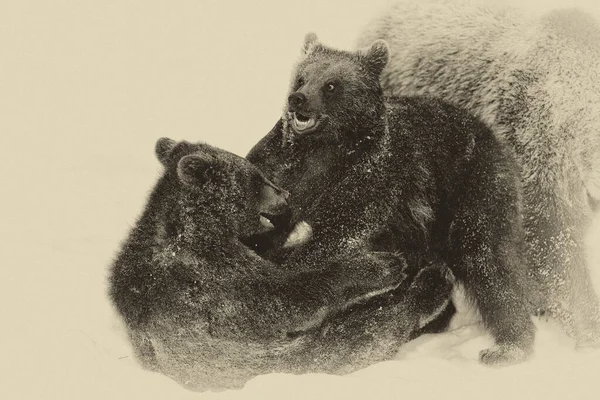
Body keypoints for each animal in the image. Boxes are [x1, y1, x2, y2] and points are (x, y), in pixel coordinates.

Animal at [109, 138, 454, 390]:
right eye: (257, 178)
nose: (286, 193)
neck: (202, 225)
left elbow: (285, 263)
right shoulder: (208, 277)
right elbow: (285, 298)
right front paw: (380, 265)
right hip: (278, 360)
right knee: (367, 331)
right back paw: (431, 285)